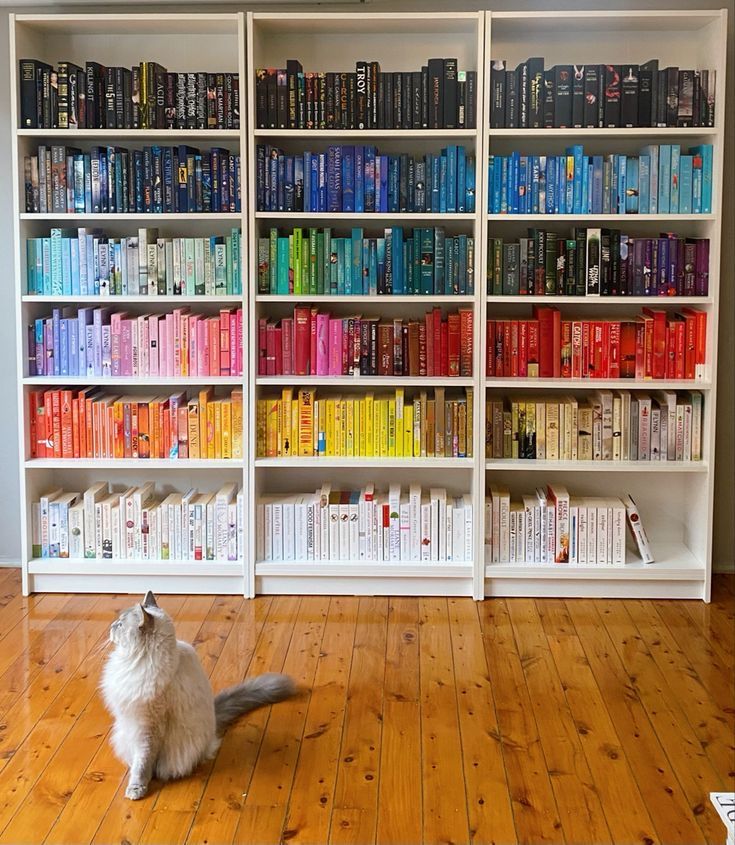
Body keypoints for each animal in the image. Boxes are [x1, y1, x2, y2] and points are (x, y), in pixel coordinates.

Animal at [101, 592, 296, 796]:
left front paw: (136, 789)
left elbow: (143, 763)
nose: (111, 626)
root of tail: (214, 720)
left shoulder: (148, 726)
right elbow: (140, 761)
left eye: (120, 625)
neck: (141, 662)